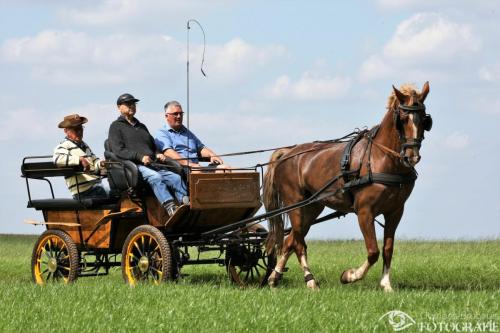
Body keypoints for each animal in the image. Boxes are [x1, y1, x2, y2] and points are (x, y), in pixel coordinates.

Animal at [264, 81, 432, 290]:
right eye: (401, 118)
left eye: (424, 119)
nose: (412, 156)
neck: (380, 158)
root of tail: (288, 152)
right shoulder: (365, 211)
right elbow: (373, 251)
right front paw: (349, 275)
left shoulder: (395, 211)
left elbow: (387, 249)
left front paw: (386, 284)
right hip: (295, 204)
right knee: (298, 243)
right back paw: (310, 281)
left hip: (312, 208)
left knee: (290, 240)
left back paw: (274, 277)